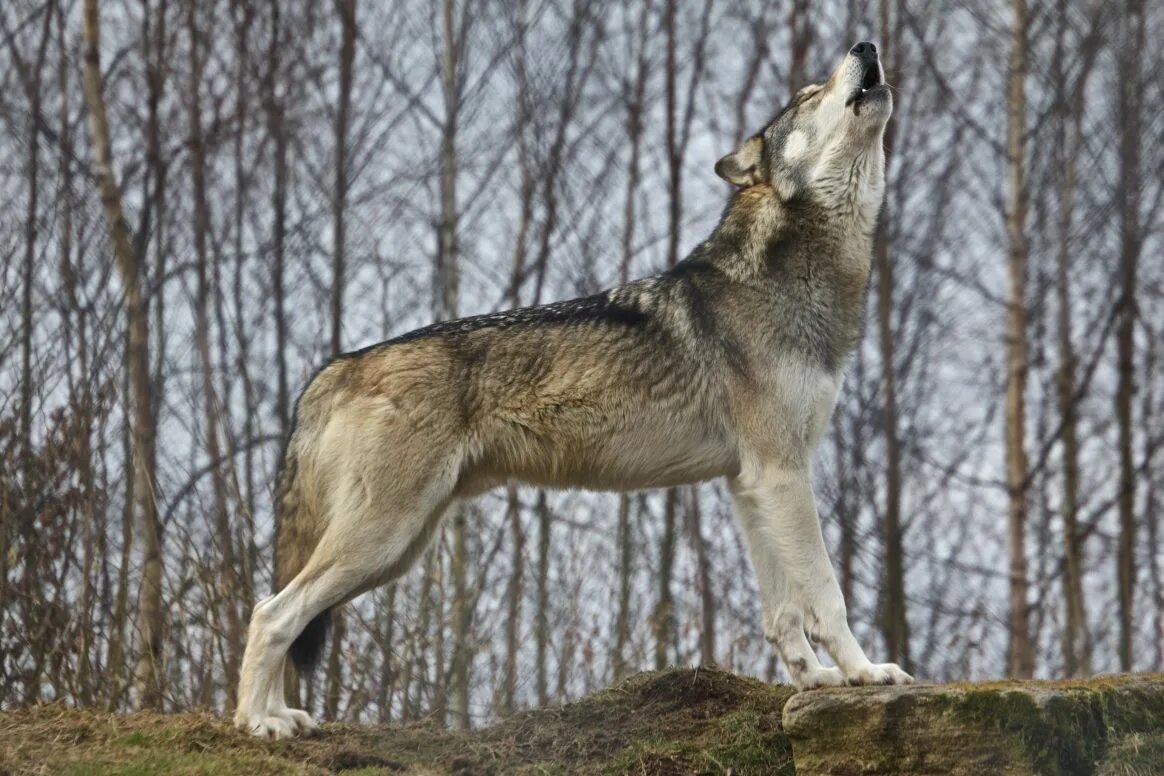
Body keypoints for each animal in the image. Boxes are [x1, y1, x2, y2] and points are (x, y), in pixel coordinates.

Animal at [233, 37, 907, 739]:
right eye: (810, 93)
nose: (866, 45)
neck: (790, 275)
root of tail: (334, 367)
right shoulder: (781, 475)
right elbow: (827, 595)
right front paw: (865, 673)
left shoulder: (753, 483)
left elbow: (784, 610)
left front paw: (813, 681)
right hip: (384, 537)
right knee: (271, 612)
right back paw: (257, 723)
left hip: (400, 546)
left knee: (277, 608)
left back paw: (280, 716)